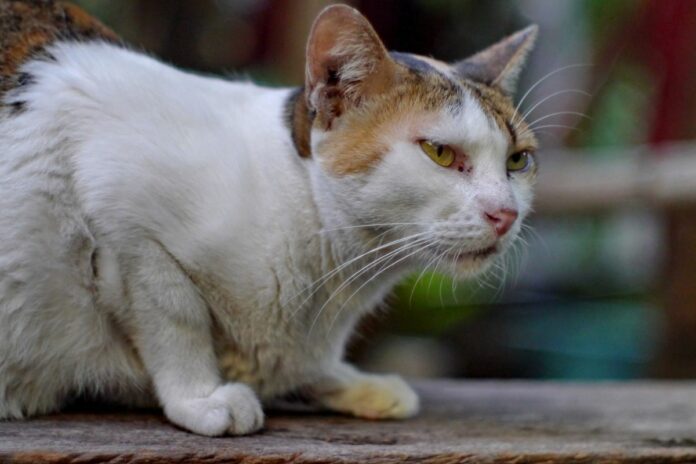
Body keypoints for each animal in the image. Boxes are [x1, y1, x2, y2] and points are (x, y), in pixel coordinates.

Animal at [0, 0, 540, 436]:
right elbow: (175, 318)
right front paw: (199, 398)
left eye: (517, 161)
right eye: (440, 153)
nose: (506, 213)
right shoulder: (122, 214)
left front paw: (341, 382)